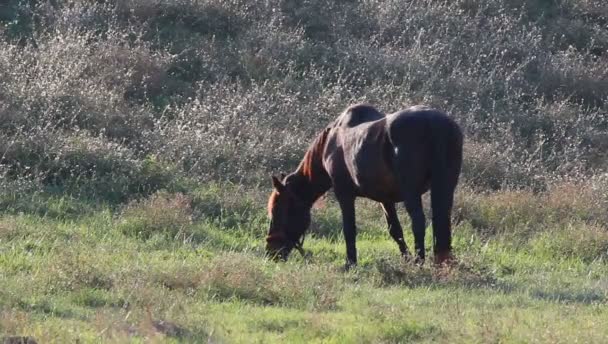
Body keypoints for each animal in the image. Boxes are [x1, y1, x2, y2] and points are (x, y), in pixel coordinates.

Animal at [264, 103, 460, 268]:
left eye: (279, 210)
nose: (271, 253)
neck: (332, 140)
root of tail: (435, 124)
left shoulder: (344, 194)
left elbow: (349, 229)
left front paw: (350, 263)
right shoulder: (385, 199)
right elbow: (395, 230)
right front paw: (406, 258)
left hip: (411, 193)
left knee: (418, 221)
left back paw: (419, 262)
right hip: (445, 187)